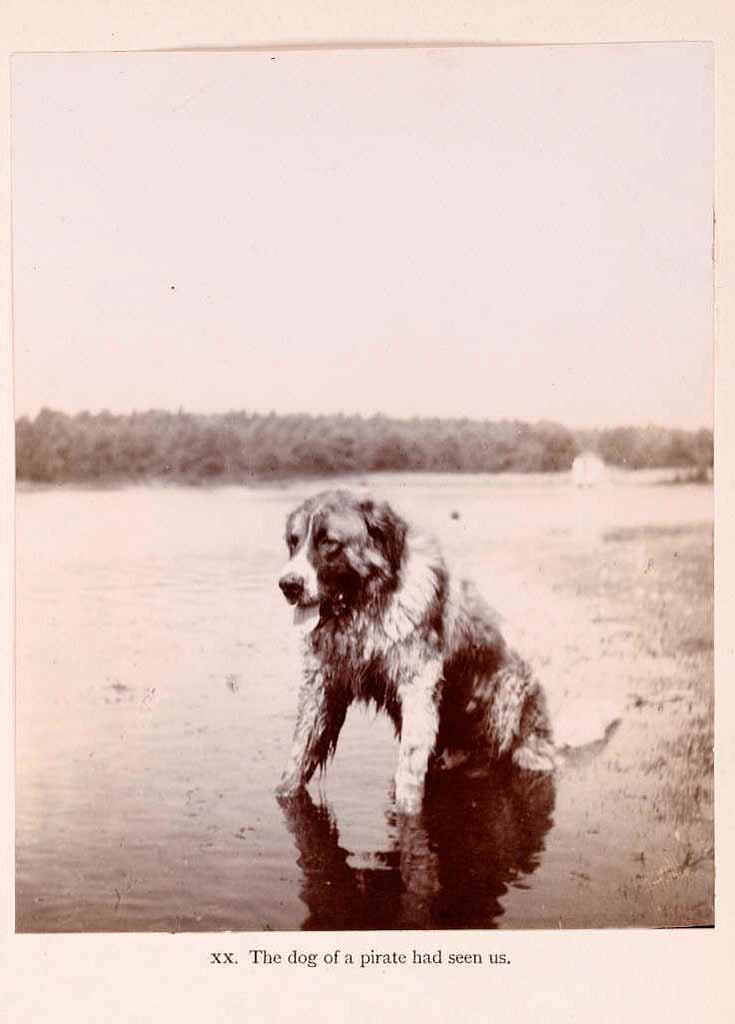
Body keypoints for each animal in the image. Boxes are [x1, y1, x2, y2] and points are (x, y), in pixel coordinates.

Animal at [276, 489, 556, 815]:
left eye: (328, 542)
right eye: (293, 541)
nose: (288, 585)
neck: (367, 608)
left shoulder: (418, 684)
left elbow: (409, 763)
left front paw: (407, 813)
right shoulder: (322, 684)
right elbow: (299, 754)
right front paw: (285, 794)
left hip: (506, 713)